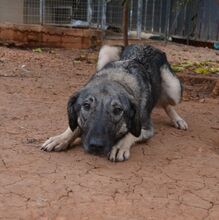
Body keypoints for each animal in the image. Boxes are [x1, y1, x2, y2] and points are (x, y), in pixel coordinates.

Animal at [41, 44, 188, 162]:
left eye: (118, 110)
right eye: (86, 106)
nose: (96, 146)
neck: (116, 79)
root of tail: (145, 44)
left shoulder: (147, 129)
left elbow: (132, 133)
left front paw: (119, 147)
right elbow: (74, 127)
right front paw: (61, 138)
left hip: (174, 88)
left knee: (166, 102)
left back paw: (178, 119)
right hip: (105, 51)